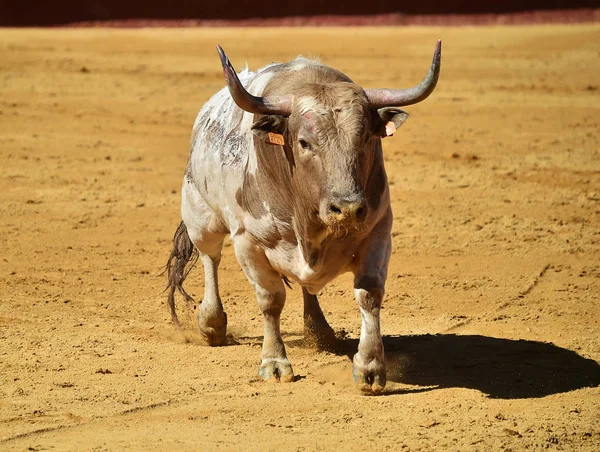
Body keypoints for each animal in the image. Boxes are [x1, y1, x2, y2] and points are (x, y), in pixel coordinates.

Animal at [165, 44, 440, 394]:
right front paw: (274, 362)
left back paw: (320, 330)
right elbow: (271, 300)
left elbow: (369, 295)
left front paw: (369, 367)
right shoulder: (249, 243)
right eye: (304, 142)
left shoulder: (378, 232)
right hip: (200, 217)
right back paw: (212, 322)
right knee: (210, 258)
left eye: (365, 138)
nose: (347, 208)